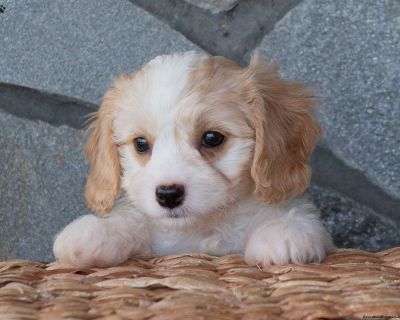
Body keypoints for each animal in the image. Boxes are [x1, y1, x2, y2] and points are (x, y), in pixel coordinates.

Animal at [54, 52, 334, 268]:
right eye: (141, 144)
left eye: (212, 138)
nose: (168, 194)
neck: (201, 230)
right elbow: (133, 221)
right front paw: (95, 232)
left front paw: (282, 232)